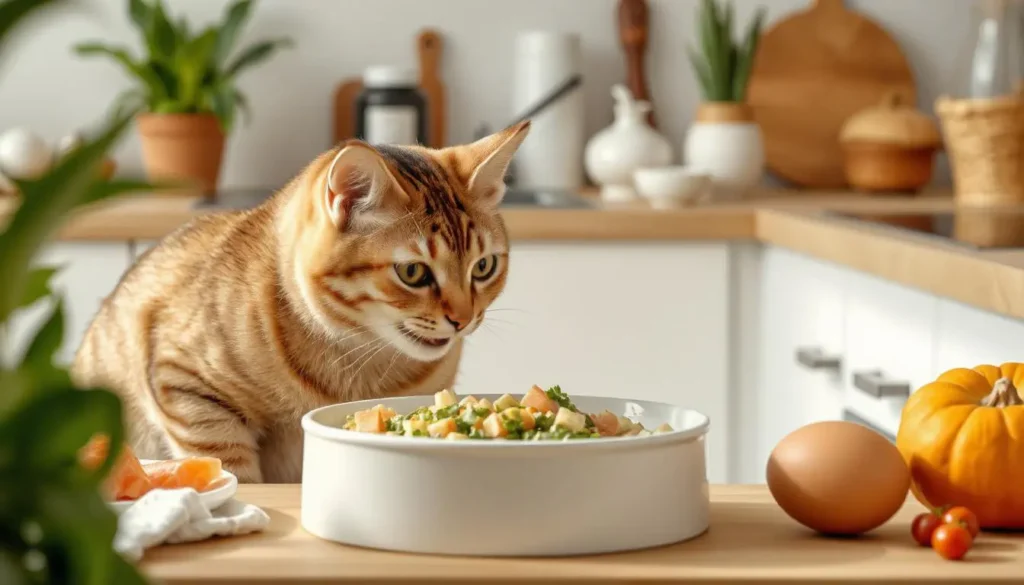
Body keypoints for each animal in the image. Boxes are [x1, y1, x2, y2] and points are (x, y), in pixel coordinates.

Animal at [71, 121, 532, 483]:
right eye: (413, 273)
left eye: (484, 266)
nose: (463, 319)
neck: (358, 361)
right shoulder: (185, 386)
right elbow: (229, 467)